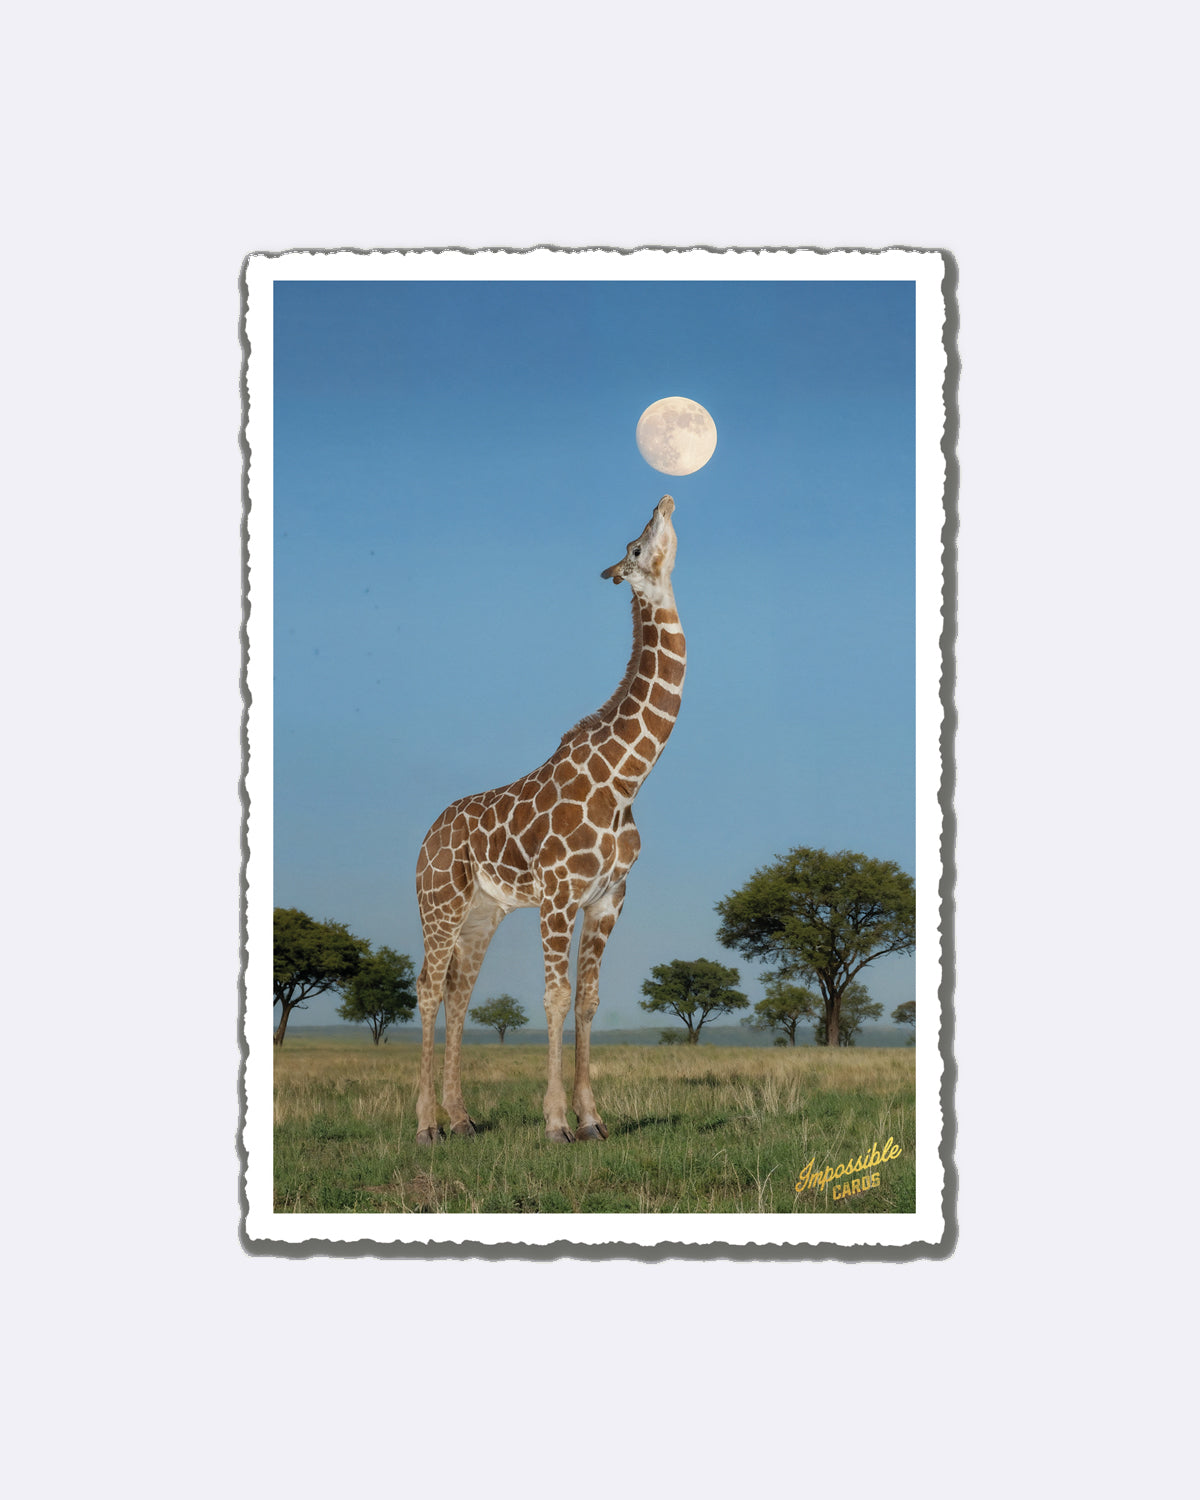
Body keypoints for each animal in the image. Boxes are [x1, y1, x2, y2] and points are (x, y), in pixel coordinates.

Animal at [413, 494, 686, 1144]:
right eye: (636, 546)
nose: (664, 499)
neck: (625, 778)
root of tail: (425, 839)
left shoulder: (609, 897)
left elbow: (587, 1000)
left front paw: (594, 1120)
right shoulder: (559, 894)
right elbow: (555, 998)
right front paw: (557, 1123)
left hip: (481, 913)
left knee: (459, 993)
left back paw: (461, 1119)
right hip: (439, 905)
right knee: (428, 990)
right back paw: (426, 1125)